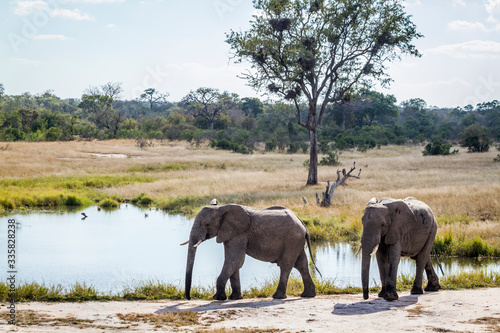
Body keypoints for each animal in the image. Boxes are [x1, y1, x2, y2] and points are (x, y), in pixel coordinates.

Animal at [183, 200, 316, 300]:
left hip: (292, 239)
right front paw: (235, 298)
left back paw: (278, 296)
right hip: (296, 240)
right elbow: (234, 263)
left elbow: (235, 261)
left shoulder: (239, 233)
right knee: (301, 264)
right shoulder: (231, 233)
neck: (221, 208)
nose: (189, 298)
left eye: (207, 225)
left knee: (286, 265)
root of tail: (303, 224)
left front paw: (218, 298)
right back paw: (308, 295)